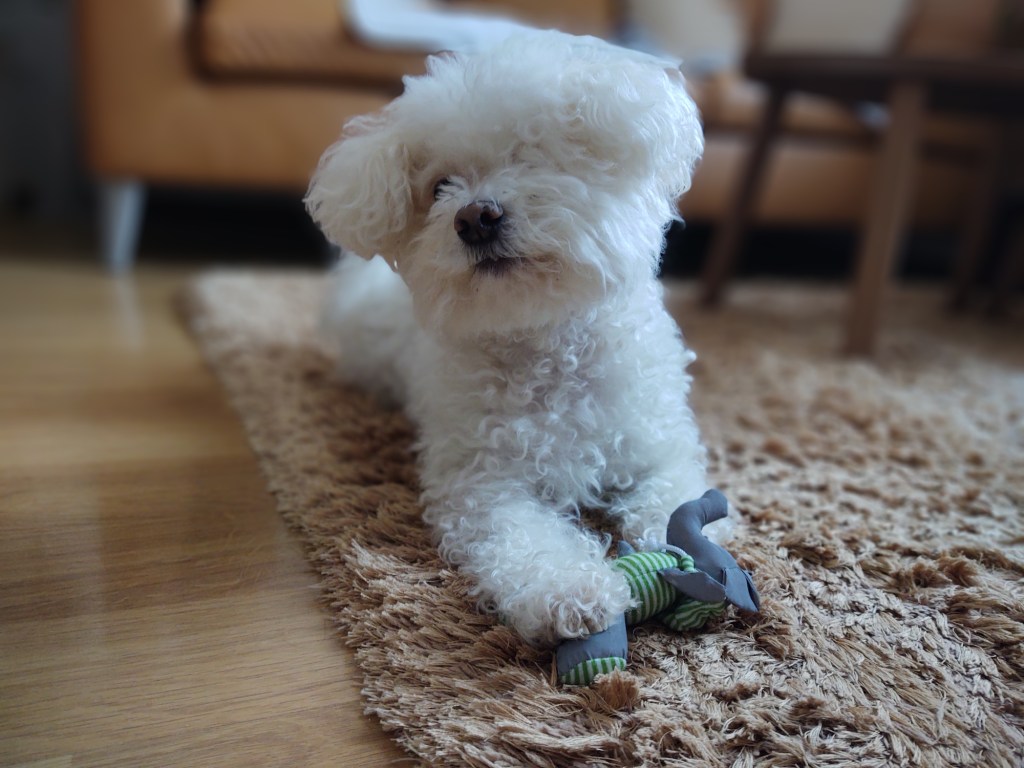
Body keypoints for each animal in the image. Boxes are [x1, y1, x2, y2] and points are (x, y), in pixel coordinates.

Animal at [305, 30, 729, 651]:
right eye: (440, 187)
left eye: (532, 156)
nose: (474, 217)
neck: (544, 341)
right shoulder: (483, 486)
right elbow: (526, 543)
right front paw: (572, 592)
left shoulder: (658, 445)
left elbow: (676, 496)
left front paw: (674, 538)